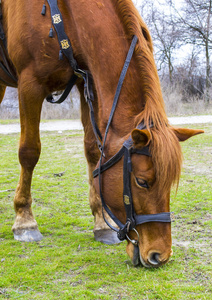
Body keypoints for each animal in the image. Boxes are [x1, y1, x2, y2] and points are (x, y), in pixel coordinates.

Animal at [0, 0, 204, 268]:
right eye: (142, 181)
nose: (160, 255)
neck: (61, 15)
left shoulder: (87, 83)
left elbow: (93, 152)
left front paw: (100, 222)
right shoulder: (29, 85)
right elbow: (29, 152)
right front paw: (24, 220)